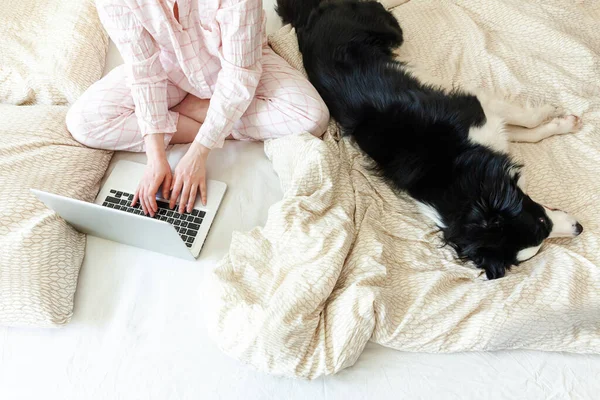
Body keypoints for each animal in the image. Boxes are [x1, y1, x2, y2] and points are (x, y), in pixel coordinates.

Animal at [276, 0, 580, 278]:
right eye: (542, 226)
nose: (580, 228)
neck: (455, 175)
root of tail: (308, 15)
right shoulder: (481, 116)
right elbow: (525, 126)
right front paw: (559, 118)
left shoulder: (480, 113)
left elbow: (527, 127)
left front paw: (559, 118)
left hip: (391, 30)